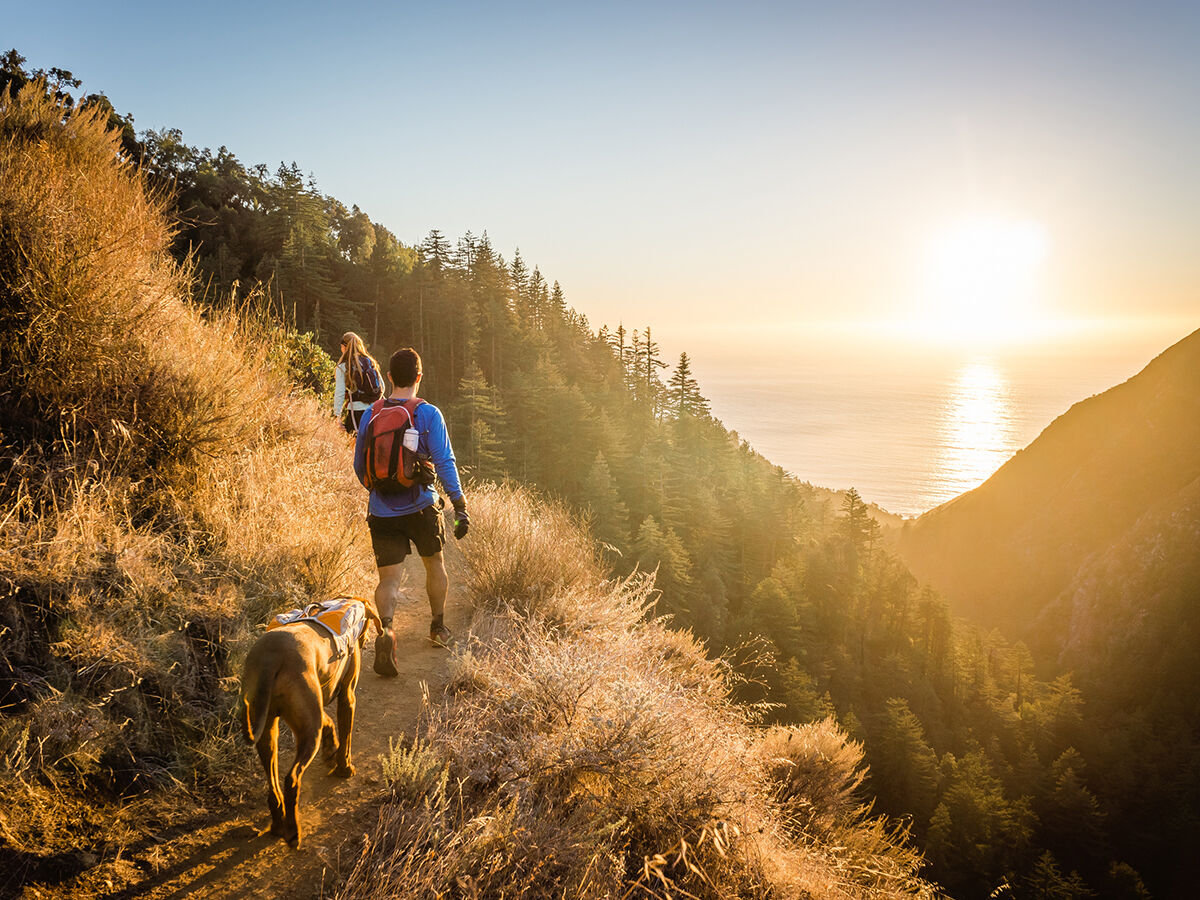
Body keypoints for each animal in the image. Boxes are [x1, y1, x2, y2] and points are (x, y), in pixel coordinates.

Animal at [238, 600, 379, 844]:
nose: (366, 639)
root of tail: (270, 656)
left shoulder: (315, 705)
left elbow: (328, 721)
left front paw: (330, 750)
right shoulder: (347, 697)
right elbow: (346, 737)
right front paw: (344, 767)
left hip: (269, 728)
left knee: (273, 786)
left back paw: (278, 823)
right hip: (309, 732)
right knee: (292, 780)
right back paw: (293, 831)